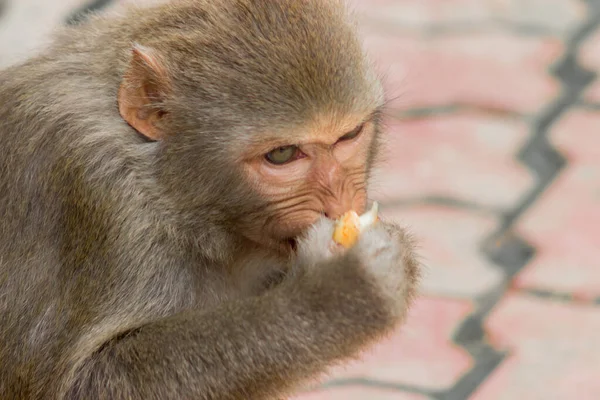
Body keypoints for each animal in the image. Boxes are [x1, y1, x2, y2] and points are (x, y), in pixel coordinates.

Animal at [0, 0, 420, 400]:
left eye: (349, 135)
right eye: (282, 154)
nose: (340, 203)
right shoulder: (100, 201)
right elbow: (82, 383)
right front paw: (338, 291)